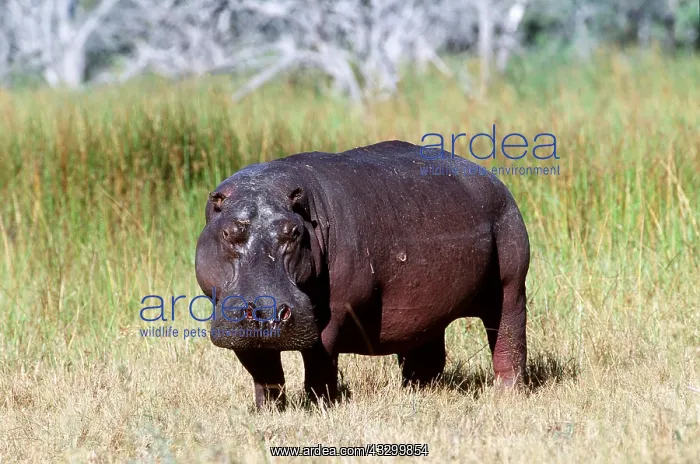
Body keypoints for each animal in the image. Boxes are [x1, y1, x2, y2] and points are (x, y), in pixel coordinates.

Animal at [195, 140, 530, 409]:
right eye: (228, 232)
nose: (265, 312)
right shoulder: (233, 319)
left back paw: (507, 395)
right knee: (428, 355)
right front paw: (268, 411)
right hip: (427, 307)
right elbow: (263, 370)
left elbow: (319, 361)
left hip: (511, 284)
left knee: (508, 338)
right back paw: (417, 392)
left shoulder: (335, 312)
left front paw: (319, 406)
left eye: (294, 232)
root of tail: (494, 180)